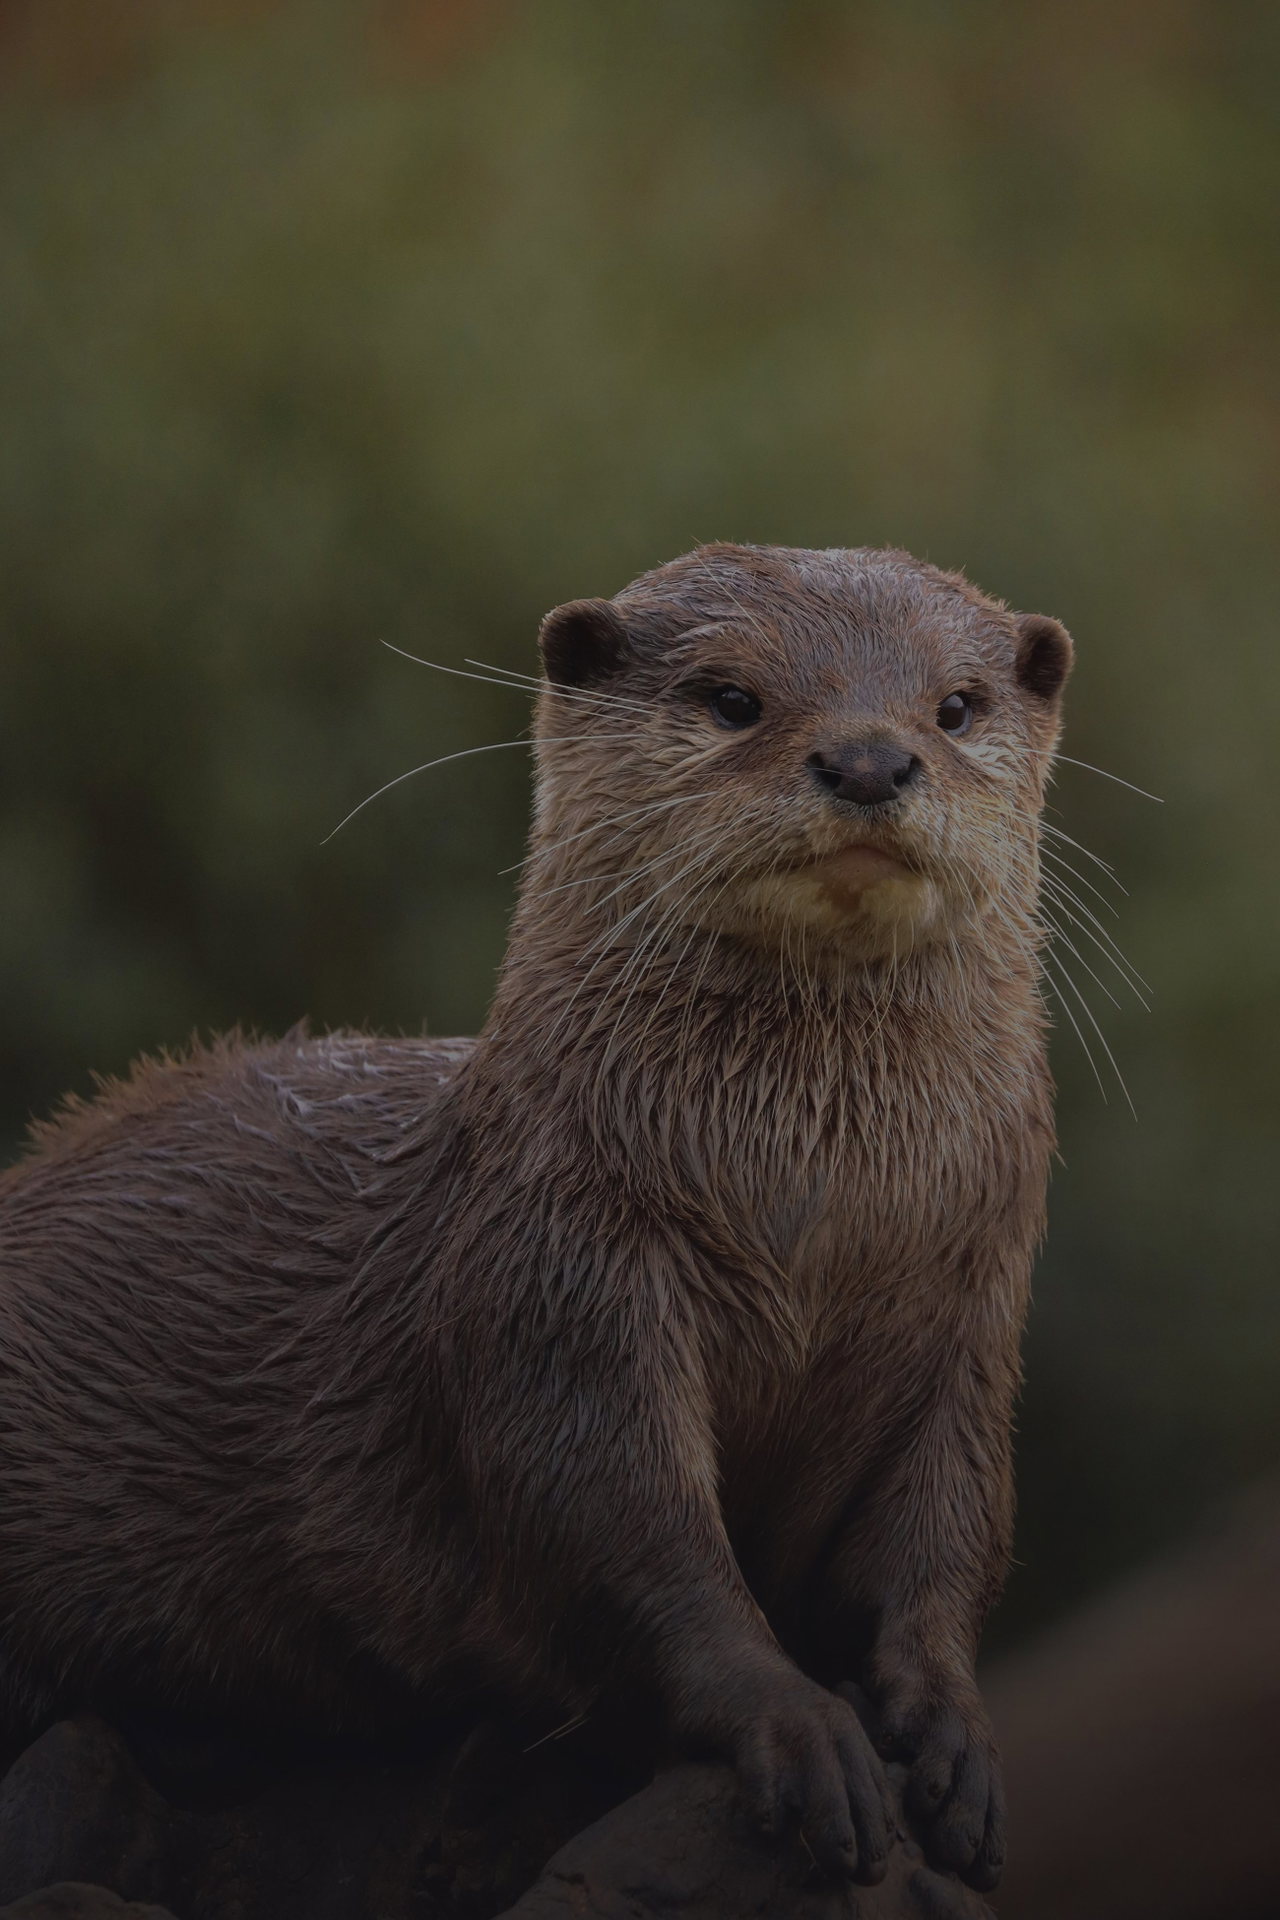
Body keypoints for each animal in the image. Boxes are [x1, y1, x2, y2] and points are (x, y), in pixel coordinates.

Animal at [0, 544, 1072, 1891]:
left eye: (954, 706)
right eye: (732, 699)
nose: (872, 759)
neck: (811, 1217)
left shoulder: (968, 1318)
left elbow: (942, 1539)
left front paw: (950, 1734)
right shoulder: (559, 1275)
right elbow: (618, 1533)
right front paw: (799, 1728)